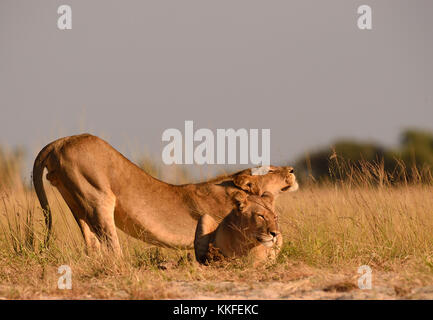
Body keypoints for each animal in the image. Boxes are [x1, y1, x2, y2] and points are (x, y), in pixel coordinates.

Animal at [33, 134, 296, 254]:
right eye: (271, 169)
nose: (292, 170)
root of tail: (60, 141)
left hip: (75, 200)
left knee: (91, 241)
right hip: (98, 197)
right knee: (110, 244)